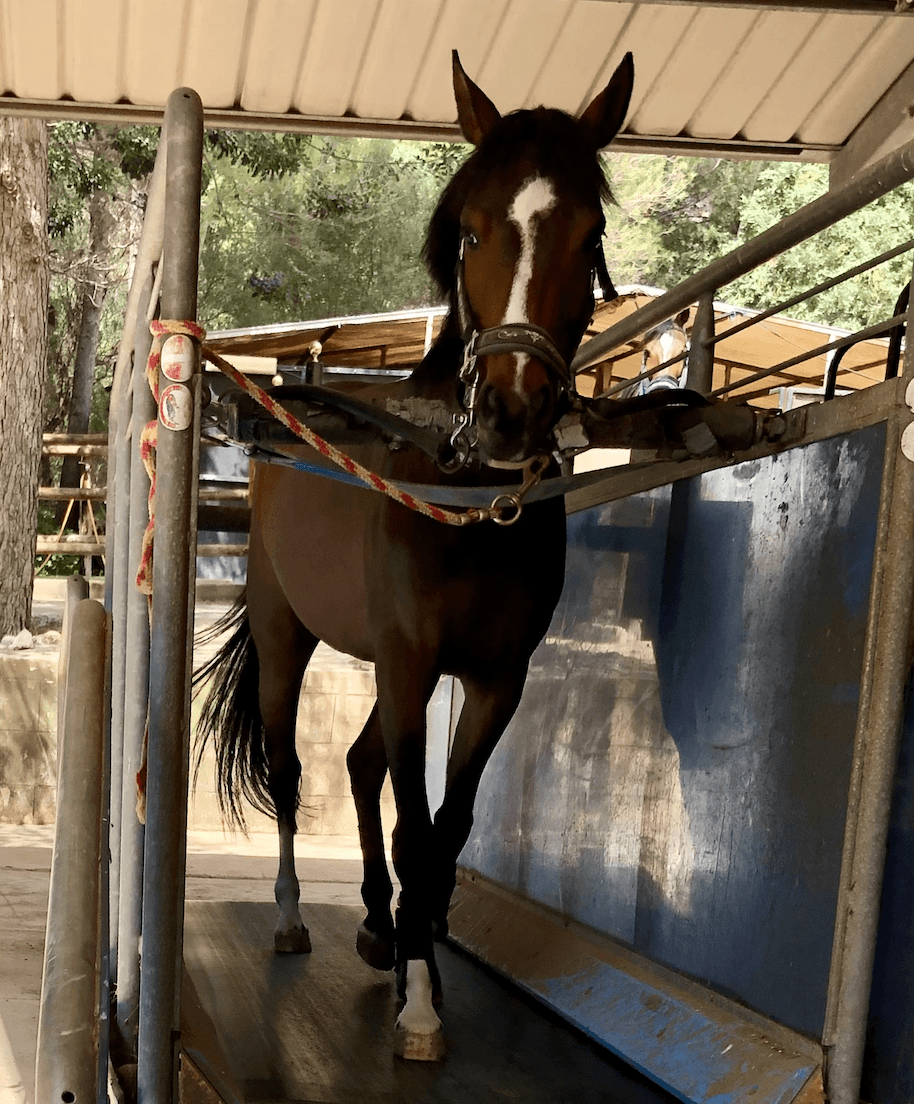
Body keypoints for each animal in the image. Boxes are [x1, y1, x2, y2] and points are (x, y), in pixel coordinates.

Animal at [195, 49, 631, 1059]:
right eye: (470, 232)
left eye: (587, 232)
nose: (513, 414)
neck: (466, 502)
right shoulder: (409, 661)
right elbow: (414, 820)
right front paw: (422, 999)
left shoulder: (493, 680)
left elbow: (449, 827)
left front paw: (415, 950)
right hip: (289, 639)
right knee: (293, 770)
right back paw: (293, 915)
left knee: (360, 767)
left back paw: (375, 923)